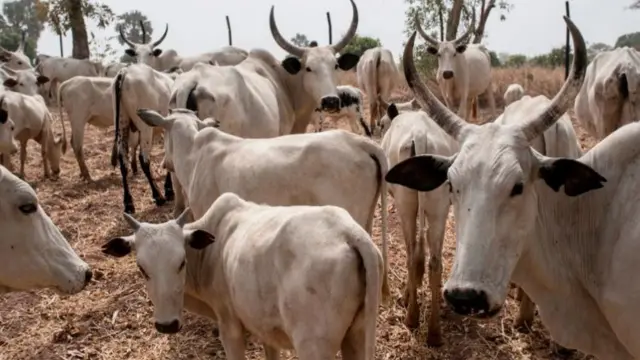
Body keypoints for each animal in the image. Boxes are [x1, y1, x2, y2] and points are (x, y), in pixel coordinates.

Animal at [103, 193, 382, 360]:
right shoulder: (267, 330)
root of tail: (350, 233)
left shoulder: (230, 328)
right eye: (142, 268)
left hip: (314, 346)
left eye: (181, 263)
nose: (167, 325)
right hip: (357, 337)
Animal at [110, 63, 174, 214]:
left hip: (122, 124)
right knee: (143, 159)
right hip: (145, 128)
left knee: (123, 161)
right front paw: (169, 190)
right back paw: (158, 196)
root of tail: (124, 72)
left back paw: (129, 203)